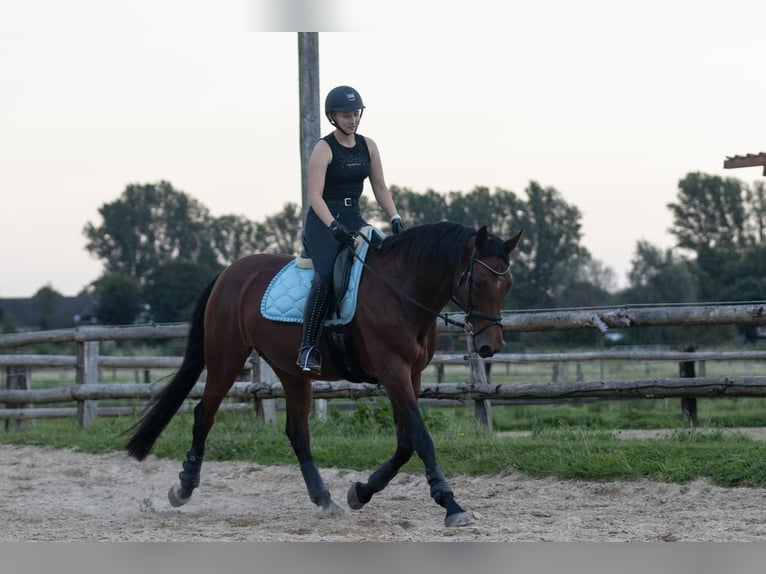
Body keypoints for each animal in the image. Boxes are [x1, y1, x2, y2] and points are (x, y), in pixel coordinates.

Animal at [126, 222, 524, 532]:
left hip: (291, 371)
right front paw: (451, 505)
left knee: (297, 432)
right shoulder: (392, 372)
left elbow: (405, 442)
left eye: (507, 284)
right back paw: (183, 488)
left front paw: (360, 492)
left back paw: (324, 498)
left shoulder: (410, 375)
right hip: (226, 359)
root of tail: (229, 273)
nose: (489, 346)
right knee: (203, 415)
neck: (401, 289)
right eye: (481, 283)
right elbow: (422, 439)